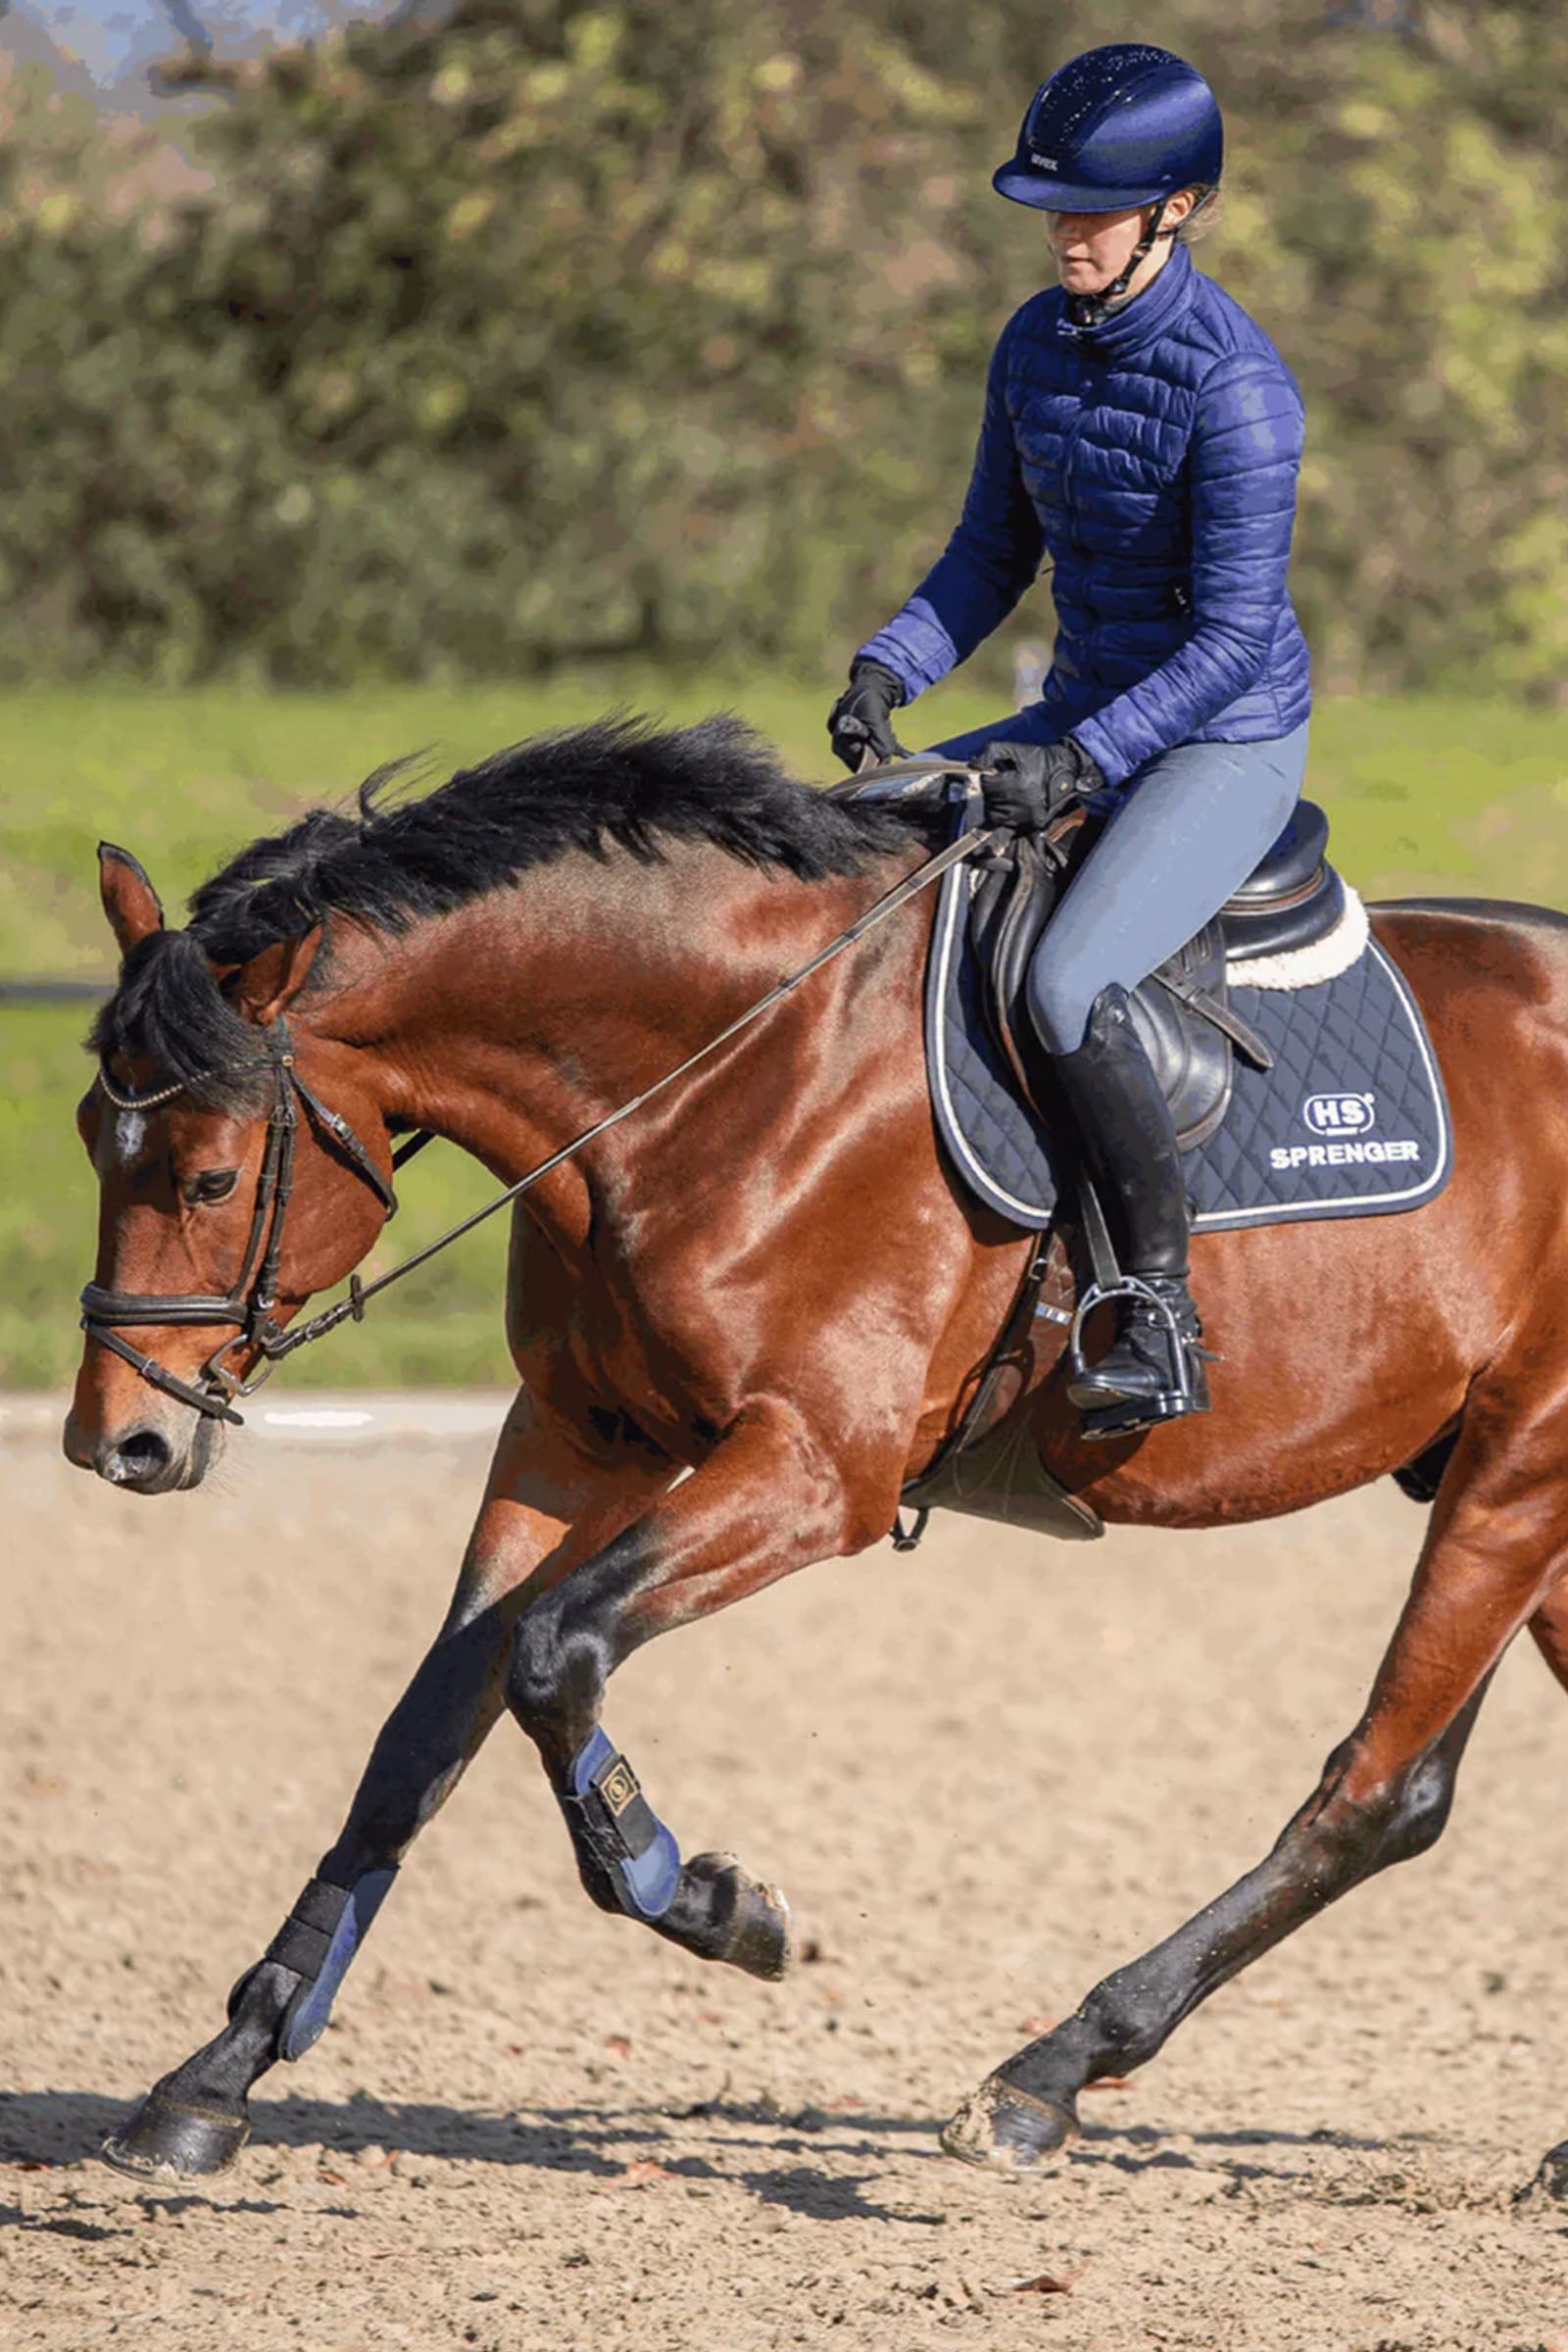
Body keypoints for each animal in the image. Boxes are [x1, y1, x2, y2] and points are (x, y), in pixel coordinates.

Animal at [63, 711, 1568, 2185]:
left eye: (209, 1175)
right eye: (91, 1135)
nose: (117, 1440)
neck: (726, 1070)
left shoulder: (815, 1467)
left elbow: (554, 1656)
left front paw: (718, 1902)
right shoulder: (574, 1437)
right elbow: (428, 1727)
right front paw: (215, 2077)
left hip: (1518, 1469)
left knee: (1378, 1794)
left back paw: (1041, 2078)